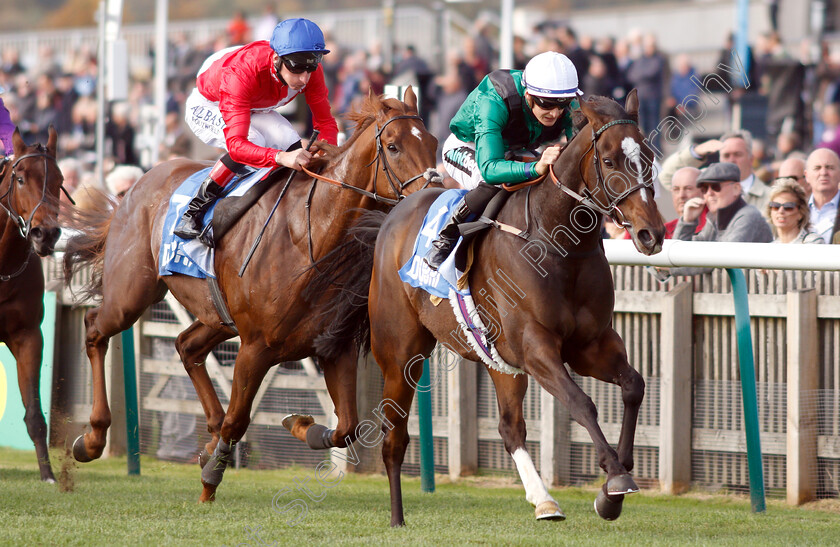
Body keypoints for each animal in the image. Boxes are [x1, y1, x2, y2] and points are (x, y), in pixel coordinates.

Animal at [64, 88, 440, 504]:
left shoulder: (331, 347)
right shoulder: (255, 347)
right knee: (95, 328)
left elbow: (348, 427)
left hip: (217, 315)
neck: (310, 236)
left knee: (186, 346)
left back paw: (206, 441)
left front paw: (298, 424)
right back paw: (92, 438)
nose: (433, 196)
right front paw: (209, 483)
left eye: (434, 142)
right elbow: (238, 420)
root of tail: (136, 186)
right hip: (131, 293)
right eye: (393, 147)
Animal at [298, 90, 668, 528]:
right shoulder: (536, 346)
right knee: (394, 438)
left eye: (648, 156)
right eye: (608, 160)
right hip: (401, 354)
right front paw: (614, 479)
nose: (651, 233)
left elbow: (633, 387)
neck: (558, 242)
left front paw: (613, 487)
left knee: (510, 427)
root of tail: (391, 216)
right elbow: (582, 403)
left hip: (498, 359)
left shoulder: (589, 345)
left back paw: (544, 501)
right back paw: (397, 517)